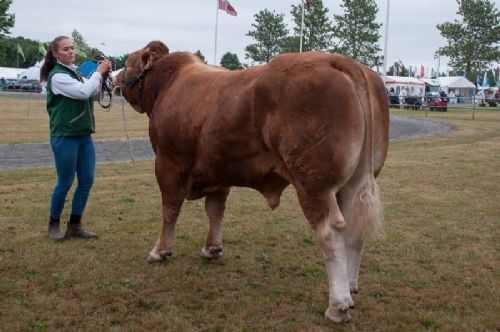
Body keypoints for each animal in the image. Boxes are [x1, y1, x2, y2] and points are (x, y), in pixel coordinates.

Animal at [114, 40, 390, 322]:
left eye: (128, 63)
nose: (114, 78)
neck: (168, 85)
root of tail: (337, 60)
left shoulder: (168, 164)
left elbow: (170, 210)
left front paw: (159, 251)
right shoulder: (218, 170)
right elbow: (215, 211)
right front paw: (212, 249)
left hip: (315, 185)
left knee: (330, 234)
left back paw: (338, 305)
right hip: (354, 183)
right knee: (355, 230)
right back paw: (351, 287)